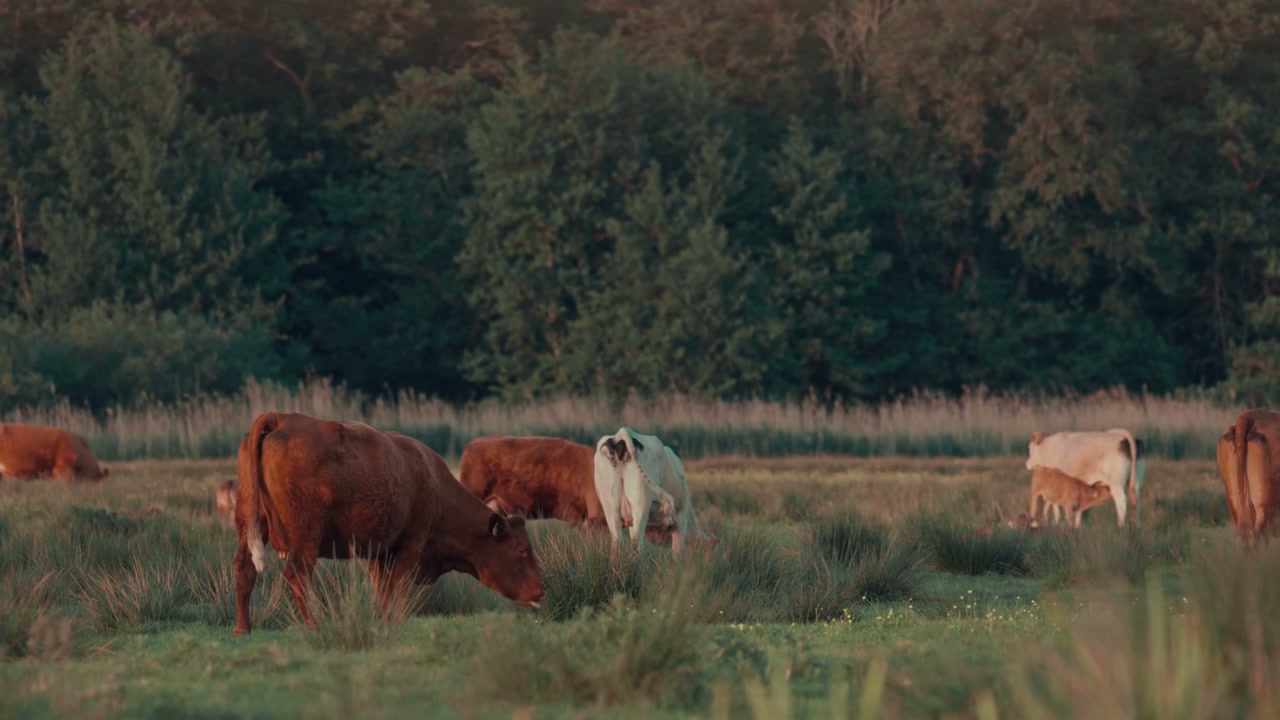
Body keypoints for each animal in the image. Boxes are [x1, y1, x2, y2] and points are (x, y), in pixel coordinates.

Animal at [232, 412, 545, 636]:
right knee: (296, 576)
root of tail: (281, 418)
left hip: (250, 526)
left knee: (245, 570)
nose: (540, 590)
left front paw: (382, 621)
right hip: (306, 540)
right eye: (521, 551)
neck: (432, 481)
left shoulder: (377, 552)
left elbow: (382, 589)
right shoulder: (410, 545)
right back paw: (314, 626)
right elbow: (399, 586)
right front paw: (397, 622)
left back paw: (242, 629)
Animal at [593, 427, 712, 556]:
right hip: (641, 503)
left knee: (618, 541)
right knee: (636, 542)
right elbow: (677, 553)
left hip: (610, 504)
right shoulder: (680, 520)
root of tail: (621, 434)